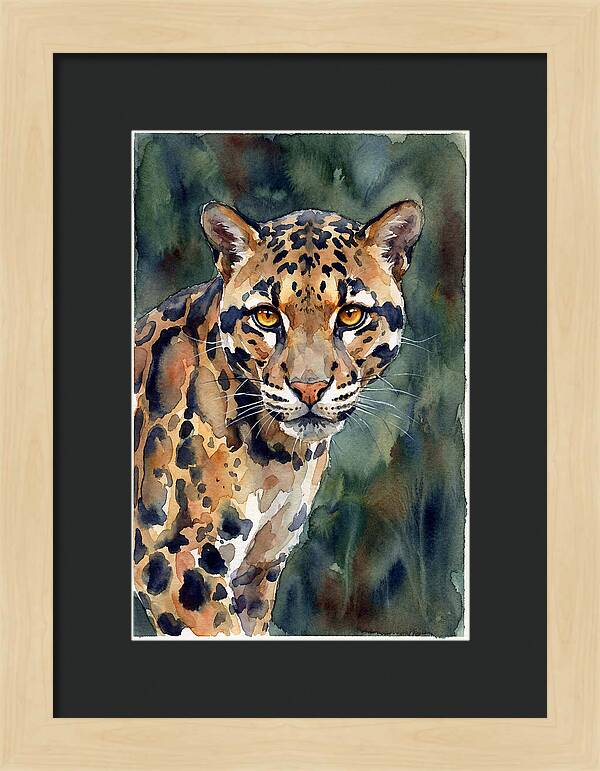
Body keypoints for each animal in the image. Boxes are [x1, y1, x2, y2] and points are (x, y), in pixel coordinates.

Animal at [133, 199, 424, 637]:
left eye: (351, 315)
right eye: (267, 317)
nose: (309, 387)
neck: (279, 457)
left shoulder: (258, 570)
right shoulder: (173, 559)